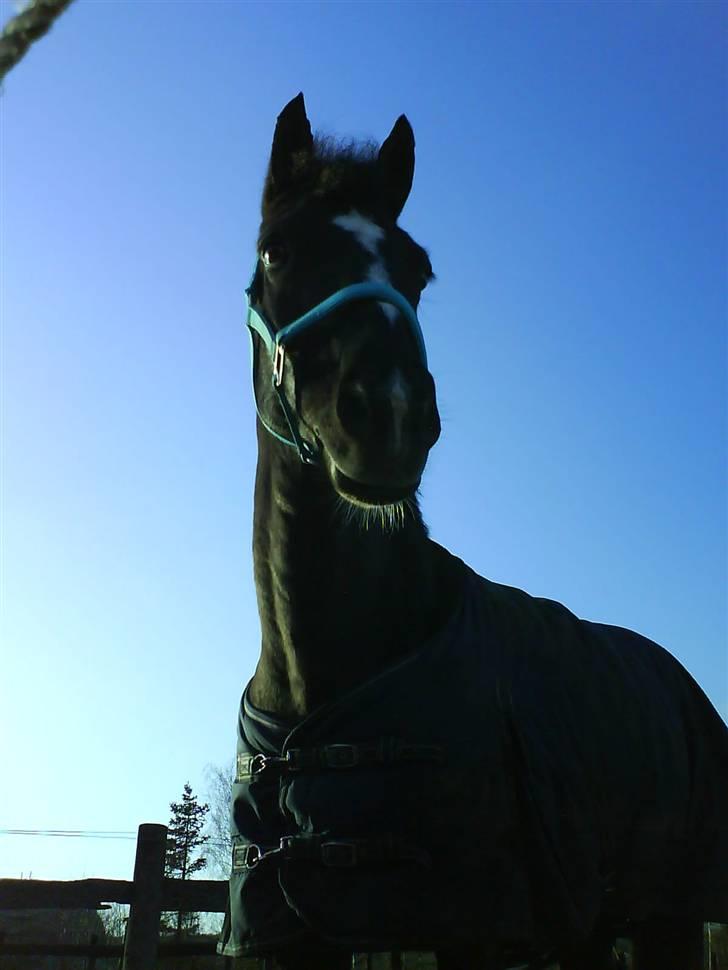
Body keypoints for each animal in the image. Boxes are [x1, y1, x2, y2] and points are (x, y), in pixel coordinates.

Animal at [218, 94, 728, 970]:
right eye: (278, 250)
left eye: (418, 270)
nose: (388, 412)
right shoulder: (292, 933)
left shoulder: (473, 924)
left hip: (672, 914)